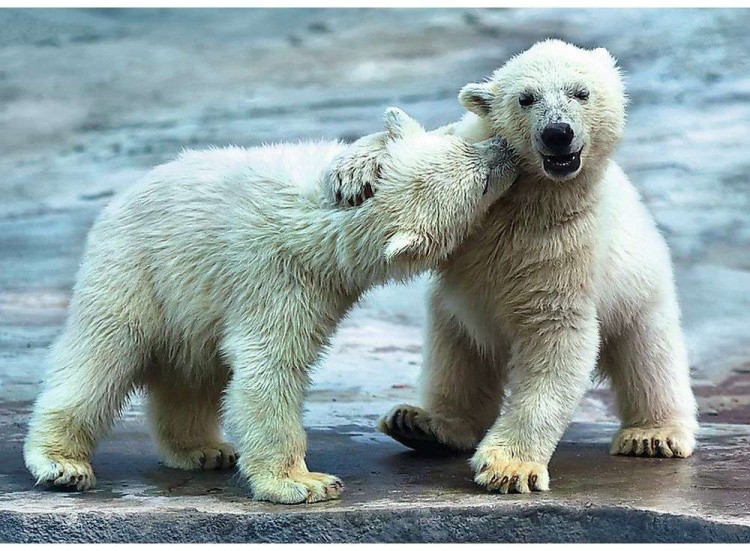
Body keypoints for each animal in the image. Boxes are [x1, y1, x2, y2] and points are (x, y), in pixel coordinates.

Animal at [22, 106, 516, 504]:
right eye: (480, 182)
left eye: (466, 141)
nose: (507, 149)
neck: (322, 223)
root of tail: (114, 206)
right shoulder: (279, 278)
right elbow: (271, 365)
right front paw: (304, 483)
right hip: (135, 272)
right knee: (101, 359)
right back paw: (62, 463)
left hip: (191, 305)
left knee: (193, 373)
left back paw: (203, 449)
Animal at [326, 40, 704, 496]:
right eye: (526, 98)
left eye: (581, 93)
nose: (558, 133)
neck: (529, 195)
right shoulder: (477, 155)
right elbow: (436, 146)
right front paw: (353, 171)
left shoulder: (565, 244)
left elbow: (555, 340)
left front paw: (509, 468)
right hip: (458, 313)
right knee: (455, 353)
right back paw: (423, 423)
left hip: (640, 291)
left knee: (651, 358)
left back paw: (653, 434)